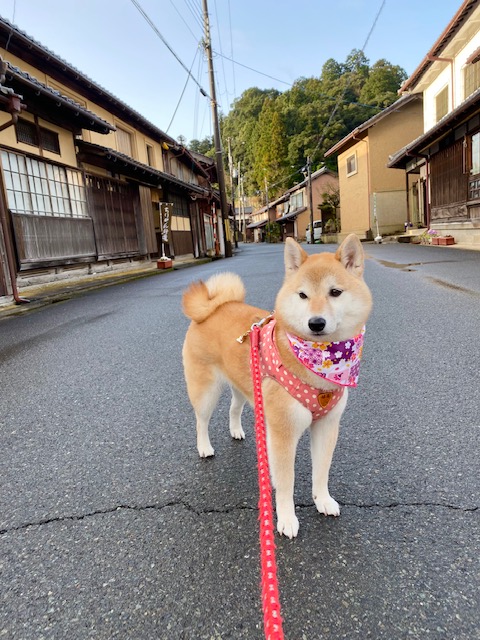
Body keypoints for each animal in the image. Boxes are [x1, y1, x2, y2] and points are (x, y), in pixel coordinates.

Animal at [182, 234, 374, 536]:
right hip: (206, 391)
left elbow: (322, 471)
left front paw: (323, 500)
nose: (316, 323)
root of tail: (212, 307)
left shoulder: (327, 425)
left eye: (335, 292)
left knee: (234, 408)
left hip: (245, 385)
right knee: (201, 420)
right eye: (302, 295)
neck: (321, 360)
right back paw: (204, 447)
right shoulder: (283, 433)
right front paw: (286, 518)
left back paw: (236, 430)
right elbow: (286, 482)